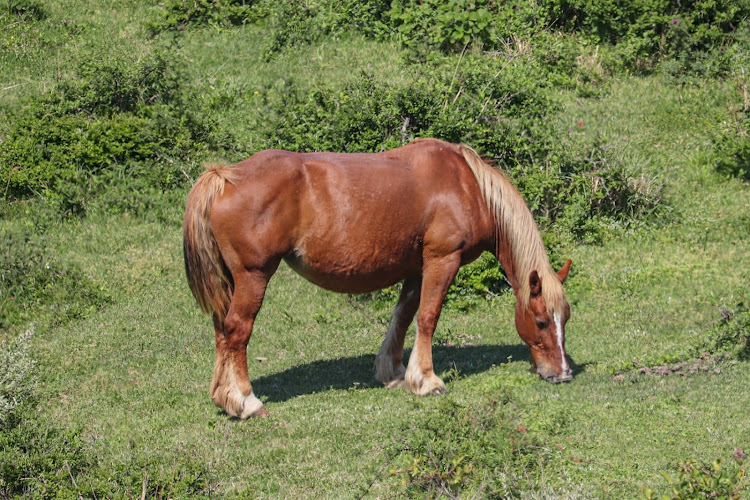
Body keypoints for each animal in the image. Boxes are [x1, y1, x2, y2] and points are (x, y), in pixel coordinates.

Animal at [185, 137, 572, 418]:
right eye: (540, 321)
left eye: (564, 319)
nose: (563, 373)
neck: (467, 185)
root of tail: (223, 177)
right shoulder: (442, 260)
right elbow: (428, 317)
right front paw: (427, 380)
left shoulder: (417, 267)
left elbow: (402, 316)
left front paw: (395, 372)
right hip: (254, 276)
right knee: (237, 331)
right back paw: (246, 401)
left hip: (232, 282)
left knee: (222, 330)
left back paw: (224, 397)